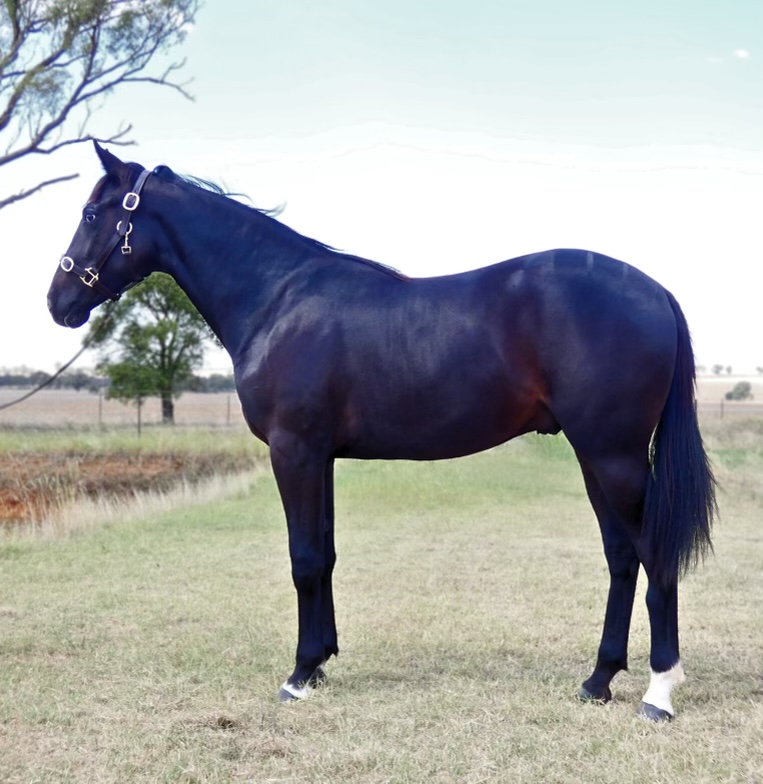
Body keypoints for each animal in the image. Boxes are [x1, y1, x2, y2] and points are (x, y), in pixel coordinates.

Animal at [47, 142, 716, 721]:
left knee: (652, 554)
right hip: (595, 456)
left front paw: (298, 675)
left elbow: (303, 558)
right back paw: (598, 680)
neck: (277, 297)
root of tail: (656, 292)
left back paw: (659, 692)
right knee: (622, 556)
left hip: (614, 456)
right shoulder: (320, 457)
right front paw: (320, 662)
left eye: (90, 213)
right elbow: (325, 553)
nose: (57, 300)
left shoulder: (294, 452)